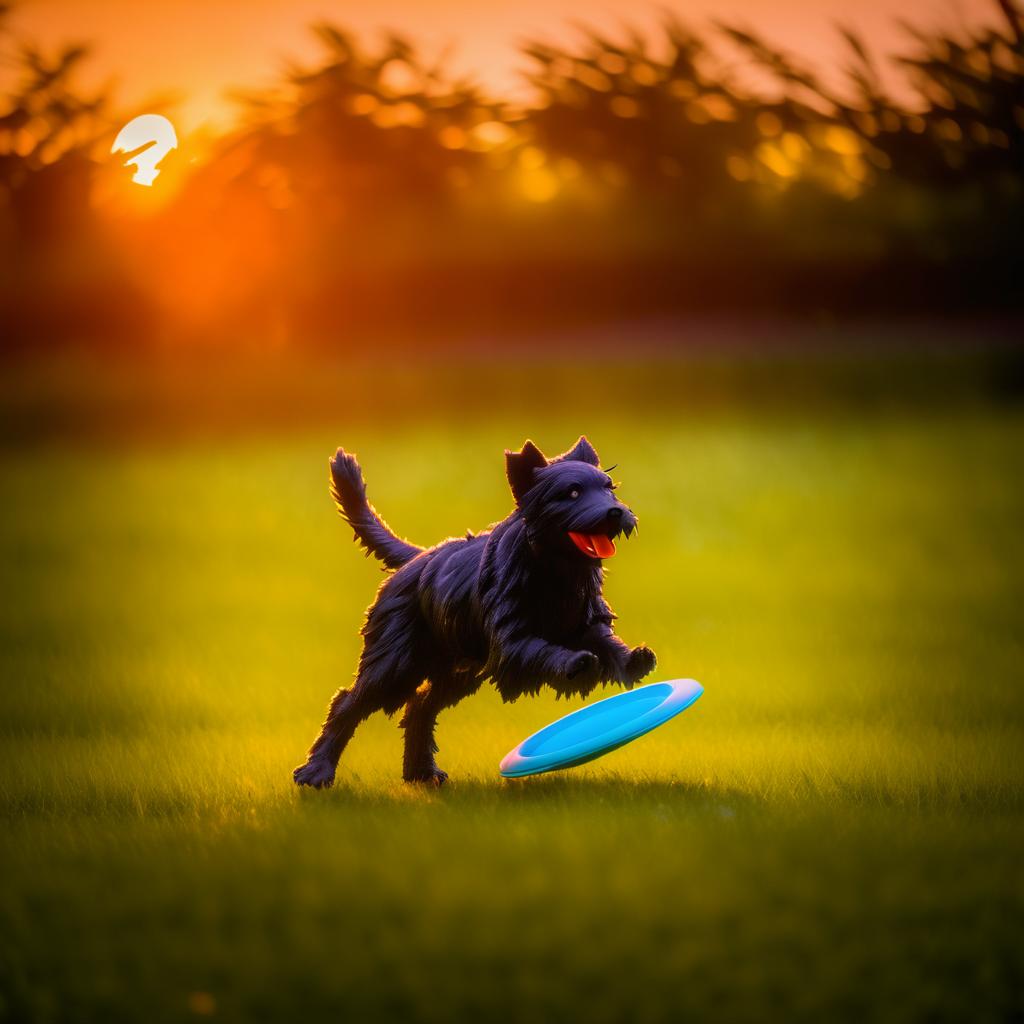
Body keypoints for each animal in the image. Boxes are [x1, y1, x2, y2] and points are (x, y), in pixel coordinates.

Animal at [292, 436, 655, 786]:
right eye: (573, 492)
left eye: (609, 487)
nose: (616, 512)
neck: (556, 569)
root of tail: (416, 559)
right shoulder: (511, 640)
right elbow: (542, 649)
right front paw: (576, 663)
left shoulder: (587, 621)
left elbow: (606, 642)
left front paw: (634, 660)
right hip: (395, 661)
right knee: (349, 703)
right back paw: (316, 773)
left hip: (457, 669)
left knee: (419, 707)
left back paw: (422, 773)